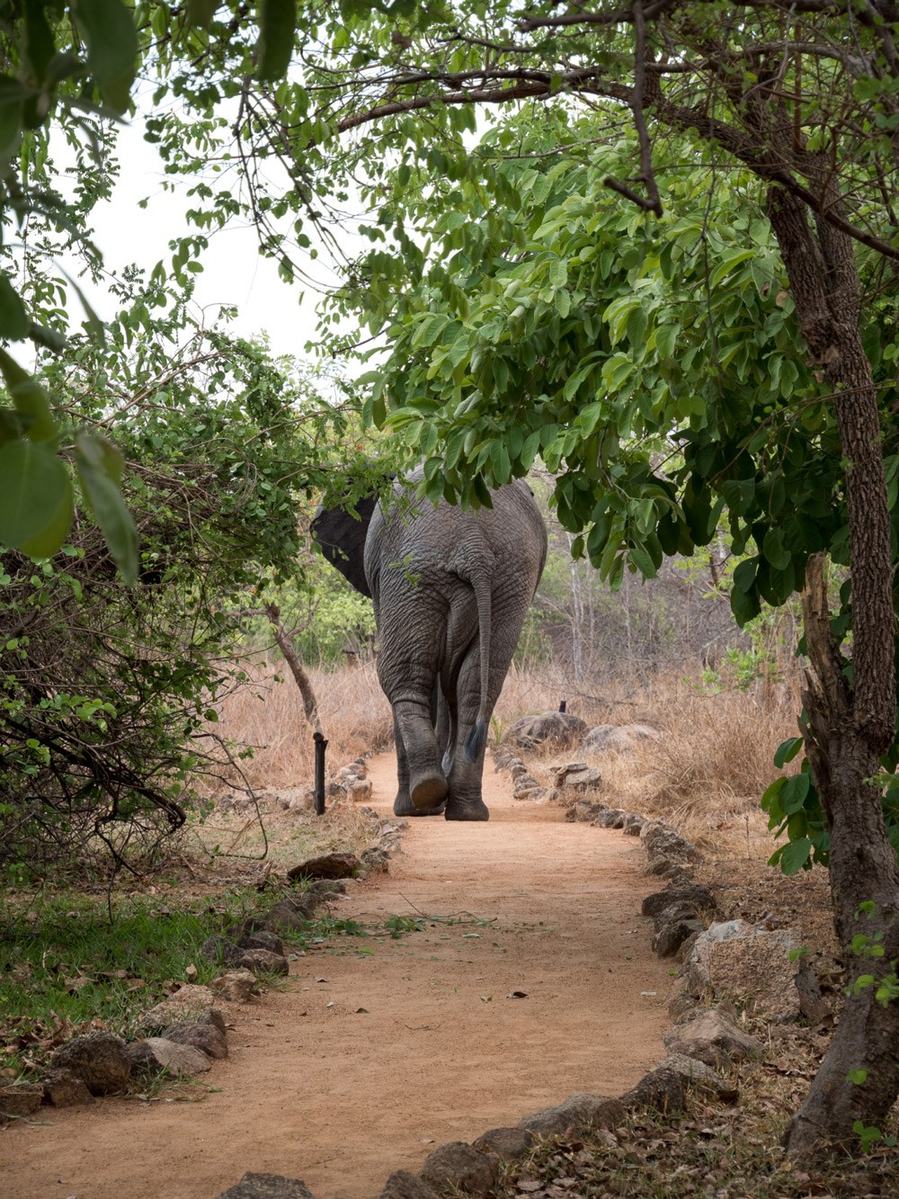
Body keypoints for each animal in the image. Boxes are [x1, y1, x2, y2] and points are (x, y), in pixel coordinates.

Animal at [312, 474, 547, 820]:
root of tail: (473, 545)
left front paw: (422, 806)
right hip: (510, 581)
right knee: (476, 686)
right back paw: (466, 812)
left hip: (411, 573)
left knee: (402, 677)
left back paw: (420, 797)